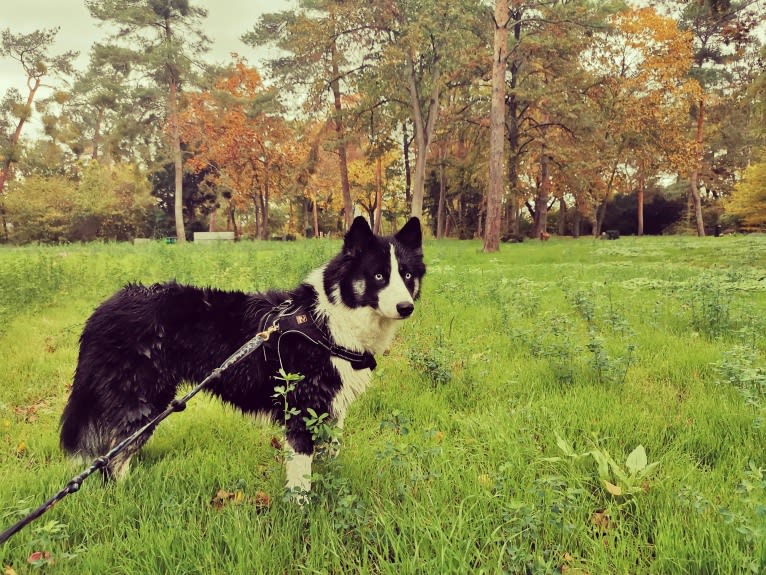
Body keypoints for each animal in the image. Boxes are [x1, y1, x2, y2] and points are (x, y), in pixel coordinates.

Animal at [60, 216, 426, 496]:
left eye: (407, 275)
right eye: (378, 276)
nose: (406, 307)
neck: (328, 320)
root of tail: (104, 308)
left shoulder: (330, 412)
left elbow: (329, 457)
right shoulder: (301, 411)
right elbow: (301, 478)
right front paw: (301, 514)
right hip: (142, 403)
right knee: (111, 459)